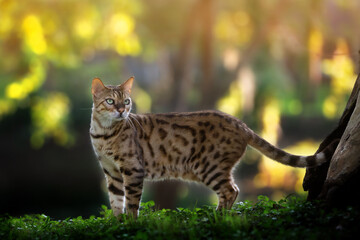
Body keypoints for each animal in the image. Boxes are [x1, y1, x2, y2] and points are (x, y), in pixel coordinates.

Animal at [90, 76, 338, 218]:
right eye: (110, 101)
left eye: (127, 101)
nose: (122, 110)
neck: (103, 134)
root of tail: (241, 124)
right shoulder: (111, 172)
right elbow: (116, 201)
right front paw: (117, 224)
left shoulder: (132, 169)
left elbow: (132, 203)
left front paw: (131, 225)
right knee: (232, 189)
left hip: (208, 166)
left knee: (231, 190)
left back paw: (218, 218)